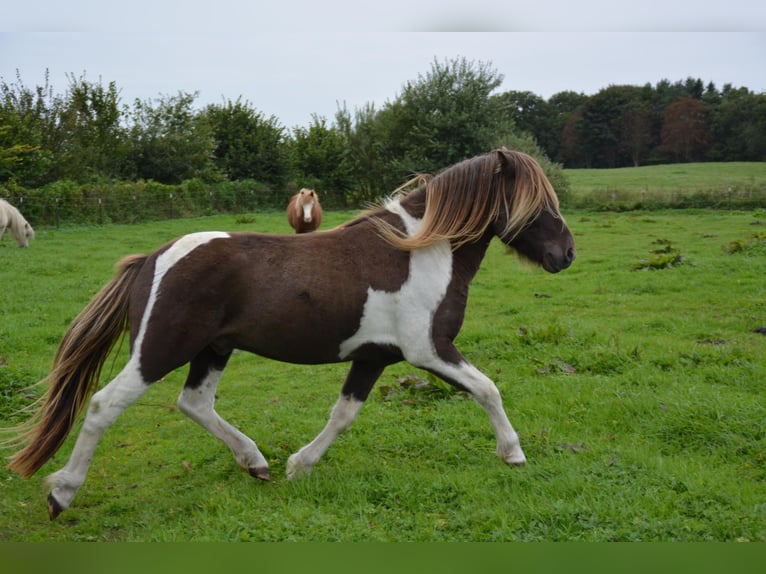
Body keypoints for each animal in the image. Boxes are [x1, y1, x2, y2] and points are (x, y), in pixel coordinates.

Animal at [4, 148, 575, 520]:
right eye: (536, 201)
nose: (565, 254)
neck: (421, 251)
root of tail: (152, 258)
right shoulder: (429, 350)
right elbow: (488, 388)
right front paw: (513, 453)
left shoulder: (374, 357)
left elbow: (343, 415)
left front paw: (299, 465)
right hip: (159, 349)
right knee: (104, 405)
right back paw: (61, 494)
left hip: (213, 348)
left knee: (195, 403)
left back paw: (256, 462)